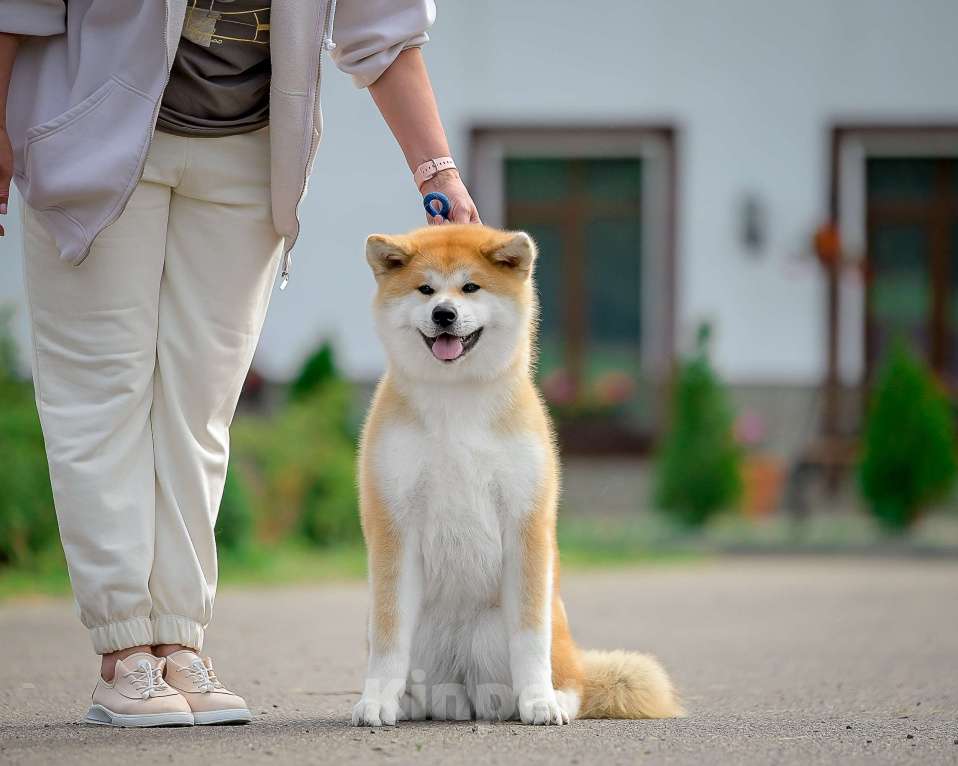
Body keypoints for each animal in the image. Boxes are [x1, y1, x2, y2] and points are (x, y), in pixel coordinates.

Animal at [352, 225, 684, 728]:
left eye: (470, 287)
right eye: (425, 289)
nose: (444, 313)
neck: (457, 403)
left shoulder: (525, 523)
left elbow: (529, 640)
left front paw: (540, 702)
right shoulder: (394, 525)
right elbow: (389, 640)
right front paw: (376, 702)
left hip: (525, 634)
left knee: (568, 682)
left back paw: (555, 698)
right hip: (421, 632)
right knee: (427, 687)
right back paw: (411, 704)